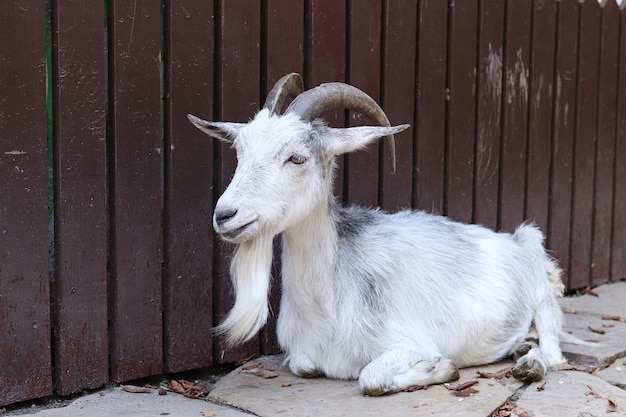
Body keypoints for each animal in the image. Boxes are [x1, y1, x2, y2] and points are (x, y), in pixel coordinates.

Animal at [190, 73, 572, 394]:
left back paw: (532, 365)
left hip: (541, 279)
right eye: (240, 151)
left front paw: (442, 369)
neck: (328, 306)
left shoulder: (410, 341)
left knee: (554, 351)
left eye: (297, 158)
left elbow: (370, 377)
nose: (225, 215)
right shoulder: (301, 355)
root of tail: (512, 239)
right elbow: (304, 366)